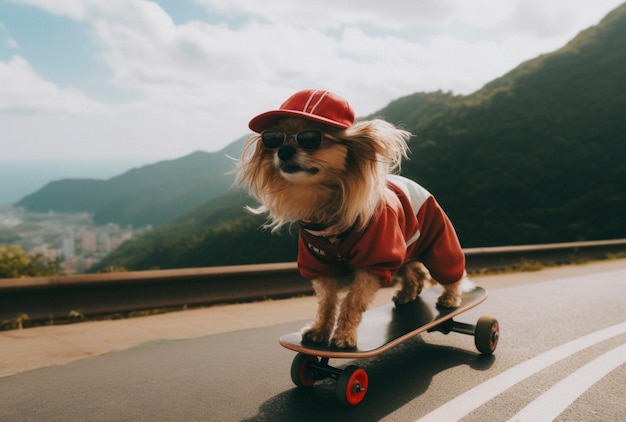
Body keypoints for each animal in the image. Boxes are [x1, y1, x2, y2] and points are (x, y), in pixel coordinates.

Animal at [236, 90, 470, 350]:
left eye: (312, 138)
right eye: (273, 139)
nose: (283, 150)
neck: (326, 210)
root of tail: (418, 185)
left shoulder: (374, 261)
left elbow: (352, 301)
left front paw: (344, 336)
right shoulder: (318, 265)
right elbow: (327, 302)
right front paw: (320, 330)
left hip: (439, 241)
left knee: (452, 272)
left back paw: (449, 298)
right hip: (403, 251)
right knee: (415, 272)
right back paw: (407, 293)